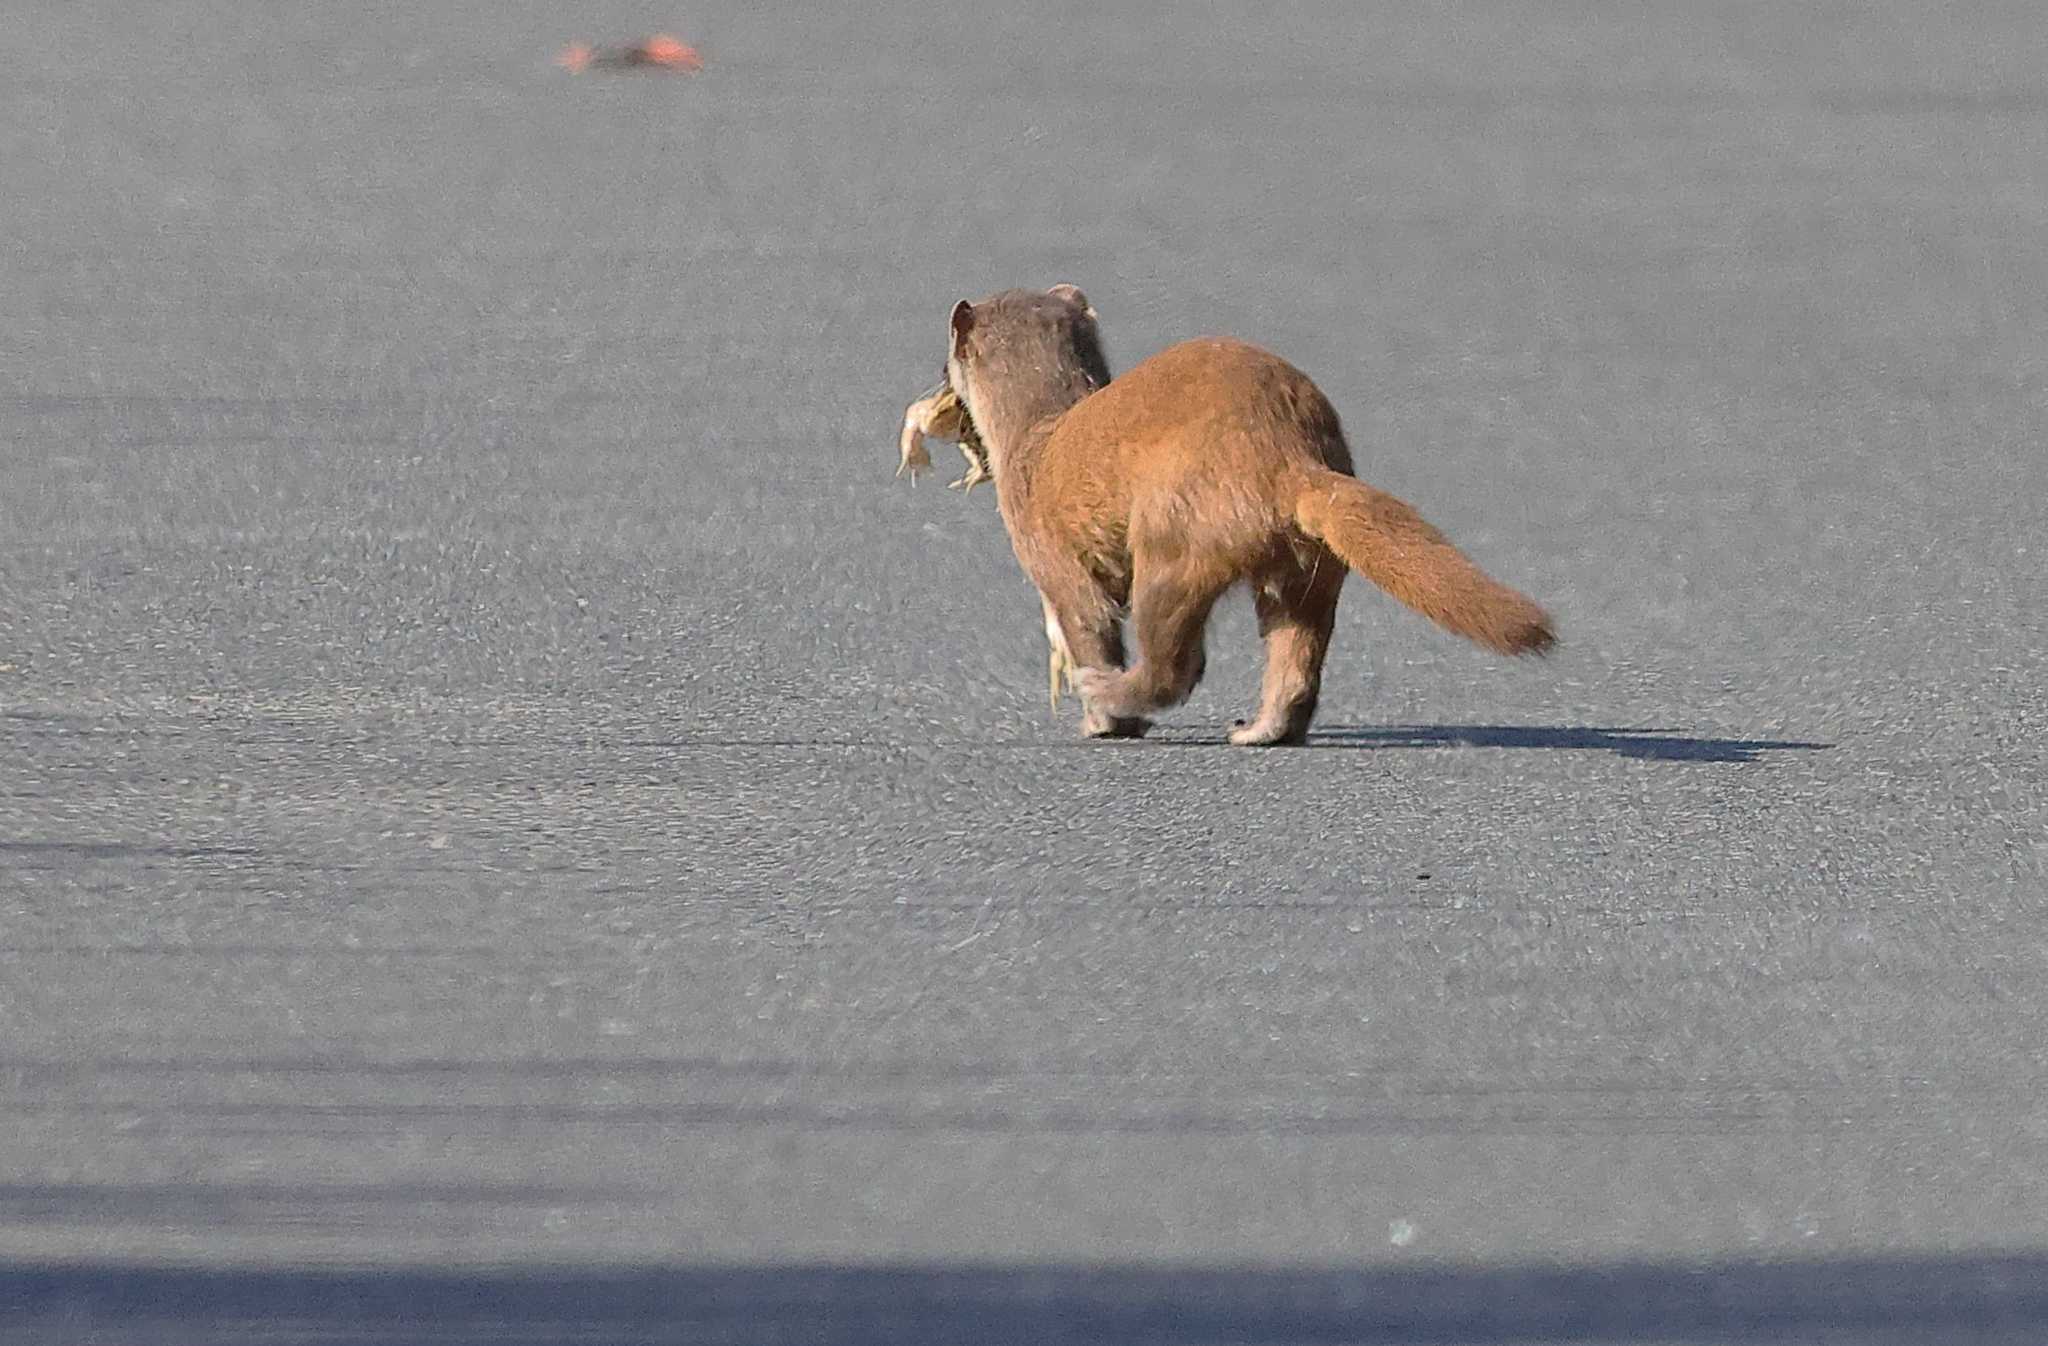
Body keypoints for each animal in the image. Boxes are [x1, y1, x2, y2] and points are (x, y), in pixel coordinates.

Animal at [942, 284, 1548, 745]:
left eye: (945, 363)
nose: (941, 391)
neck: (1036, 436)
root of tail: (1286, 453)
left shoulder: (1048, 553)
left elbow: (1088, 623)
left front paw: (1102, 722)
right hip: (1307, 566)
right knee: (1295, 656)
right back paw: (1258, 731)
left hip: (1171, 533)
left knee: (1174, 662)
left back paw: (1111, 689)